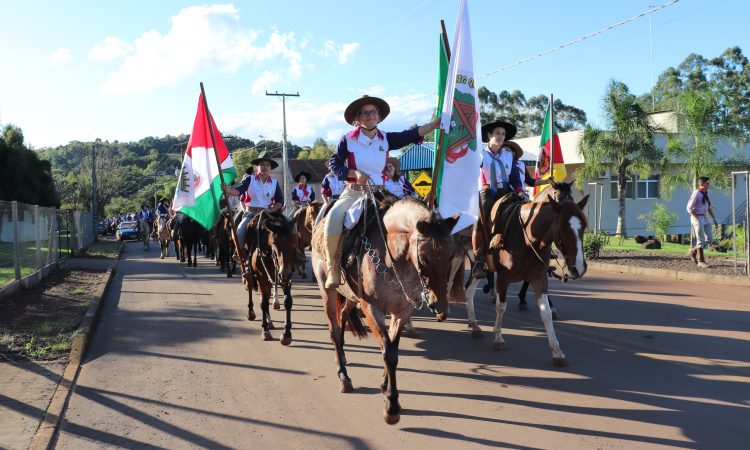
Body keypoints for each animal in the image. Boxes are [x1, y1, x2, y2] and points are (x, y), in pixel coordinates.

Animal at [242, 210, 298, 344]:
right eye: (274, 243)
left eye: (293, 241)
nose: (284, 273)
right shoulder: (262, 277)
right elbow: (264, 302)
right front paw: (265, 331)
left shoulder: (286, 278)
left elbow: (288, 302)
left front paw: (286, 334)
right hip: (254, 275)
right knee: (252, 288)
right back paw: (252, 313)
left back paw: (269, 321)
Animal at [310, 194, 458, 426]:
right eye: (425, 258)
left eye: (452, 255)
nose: (439, 306)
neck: (393, 258)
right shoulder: (372, 309)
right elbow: (388, 352)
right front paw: (392, 406)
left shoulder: (402, 311)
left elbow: (393, 349)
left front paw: (384, 385)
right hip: (328, 291)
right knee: (333, 330)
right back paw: (344, 376)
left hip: (351, 297)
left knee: (342, 319)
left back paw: (341, 357)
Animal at [468, 193, 592, 366]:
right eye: (563, 228)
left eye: (583, 227)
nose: (579, 267)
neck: (525, 237)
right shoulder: (503, 278)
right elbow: (501, 306)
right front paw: (498, 337)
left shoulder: (539, 277)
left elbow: (546, 312)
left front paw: (557, 352)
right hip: (474, 262)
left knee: (468, 291)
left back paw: (474, 325)